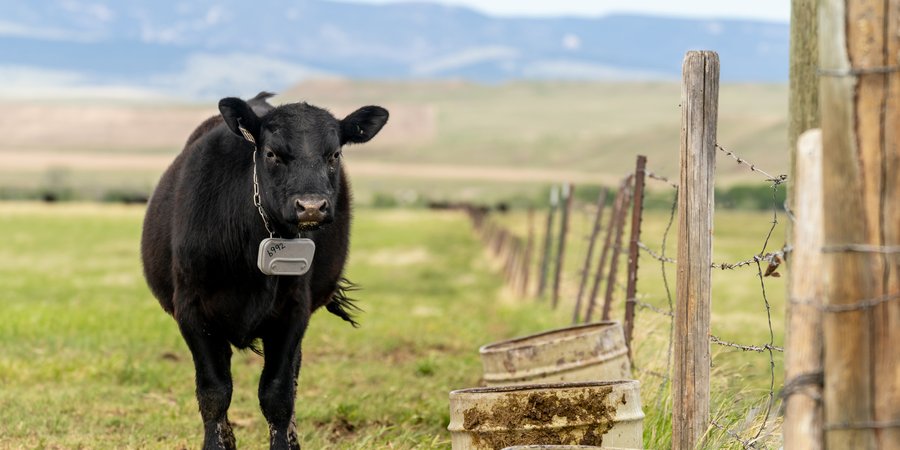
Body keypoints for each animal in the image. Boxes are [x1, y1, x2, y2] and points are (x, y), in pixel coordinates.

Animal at [141, 92, 388, 449]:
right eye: (271, 153)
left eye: (334, 154)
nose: (311, 206)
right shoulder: (192, 311)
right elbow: (214, 393)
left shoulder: (293, 313)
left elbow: (278, 394)